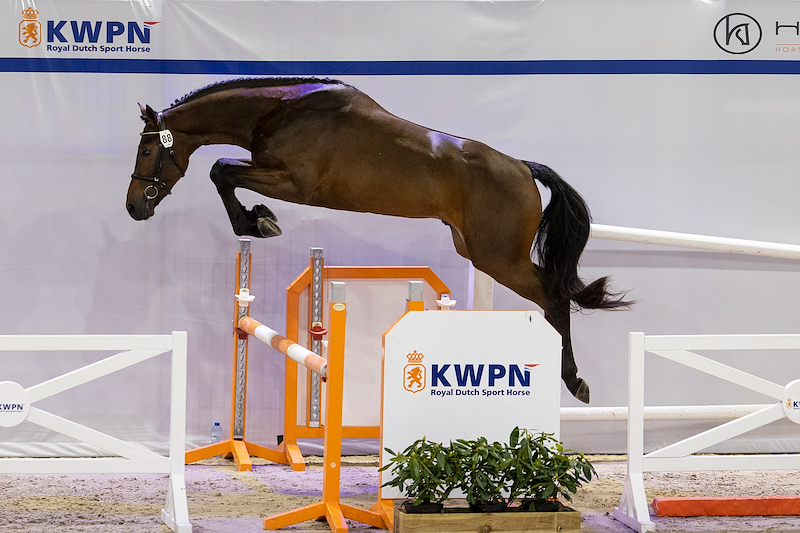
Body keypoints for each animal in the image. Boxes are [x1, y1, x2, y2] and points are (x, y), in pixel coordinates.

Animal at [127, 77, 630, 403]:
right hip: (478, 251)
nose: (134, 207)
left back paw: (574, 381)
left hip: (499, 258)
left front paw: (258, 222)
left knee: (553, 296)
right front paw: (258, 219)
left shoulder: (293, 182)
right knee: (552, 295)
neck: (280, 111)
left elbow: (221, 170)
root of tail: (523, 168)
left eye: (148, 150)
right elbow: (224, 172)